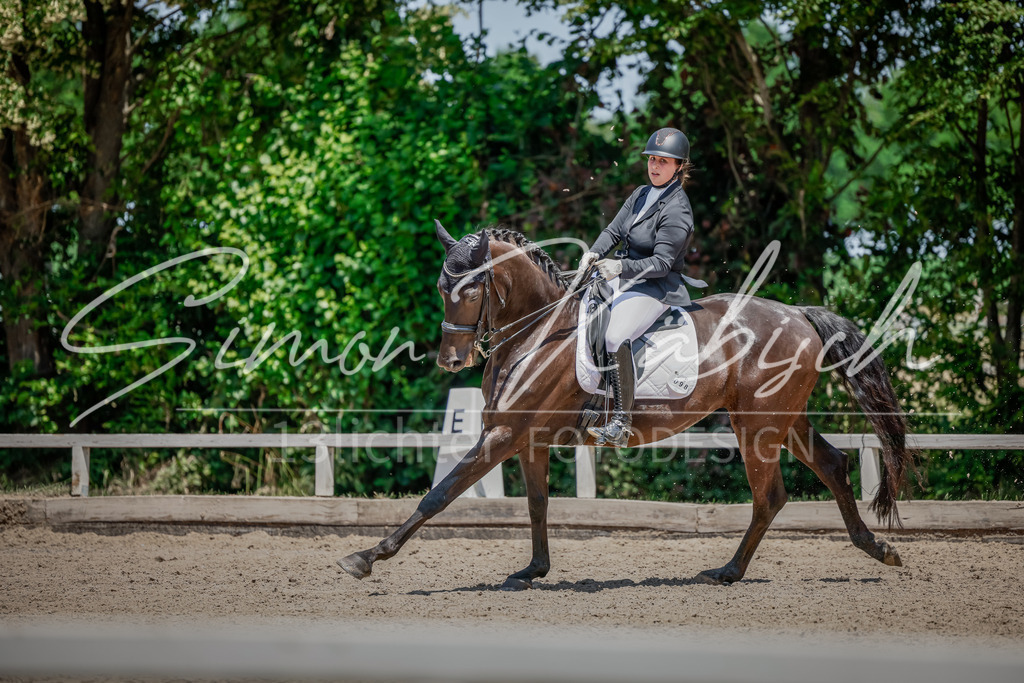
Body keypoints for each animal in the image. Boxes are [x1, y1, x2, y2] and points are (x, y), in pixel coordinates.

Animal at [338, 223, 913, 589]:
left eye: (474, 287)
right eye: (442, 287)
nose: (450, 360)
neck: (538, 332)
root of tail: (797, 314)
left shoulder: (501, 435)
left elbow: (439, 495)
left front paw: (365, 557)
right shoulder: (526, 437)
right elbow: (537, 504)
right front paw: (533, 571)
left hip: (758, 427)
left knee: (770, 496)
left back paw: (728, 572)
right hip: (782, 419)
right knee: (833, 465)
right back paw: (876, 549)